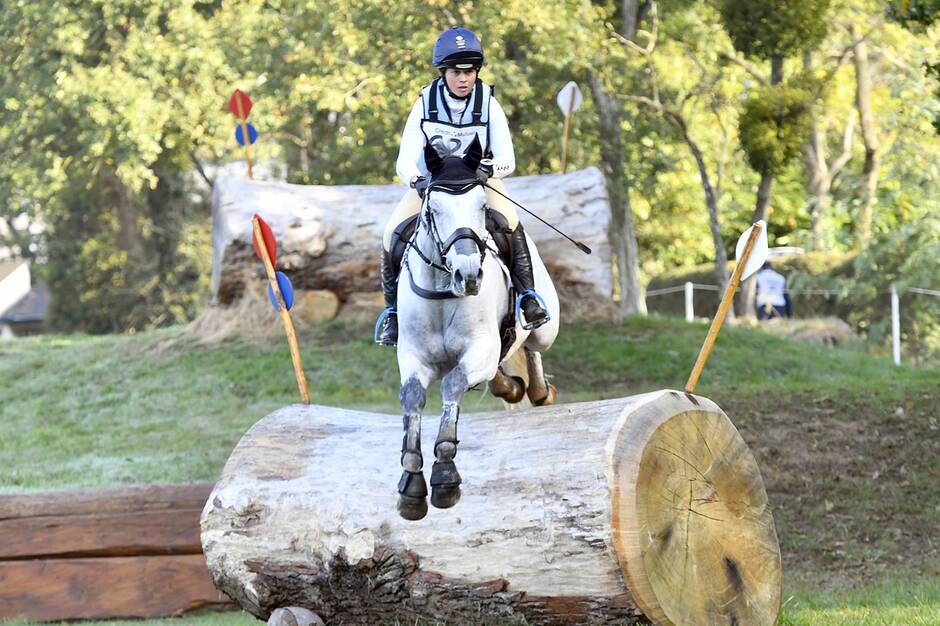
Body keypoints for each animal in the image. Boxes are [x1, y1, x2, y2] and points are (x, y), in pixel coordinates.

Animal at [394, 140, 560, 516]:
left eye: (482, 207)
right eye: (433, 210)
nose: (468, 275)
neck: (444, 288)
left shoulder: (480, 348)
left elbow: (453, 384)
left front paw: (444, 477)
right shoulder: (413, 357)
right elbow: (413, 397)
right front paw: (411, 484)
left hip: (546, 328)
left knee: (532, 347)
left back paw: (539, 390)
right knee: (502, 373)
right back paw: (511, 387)